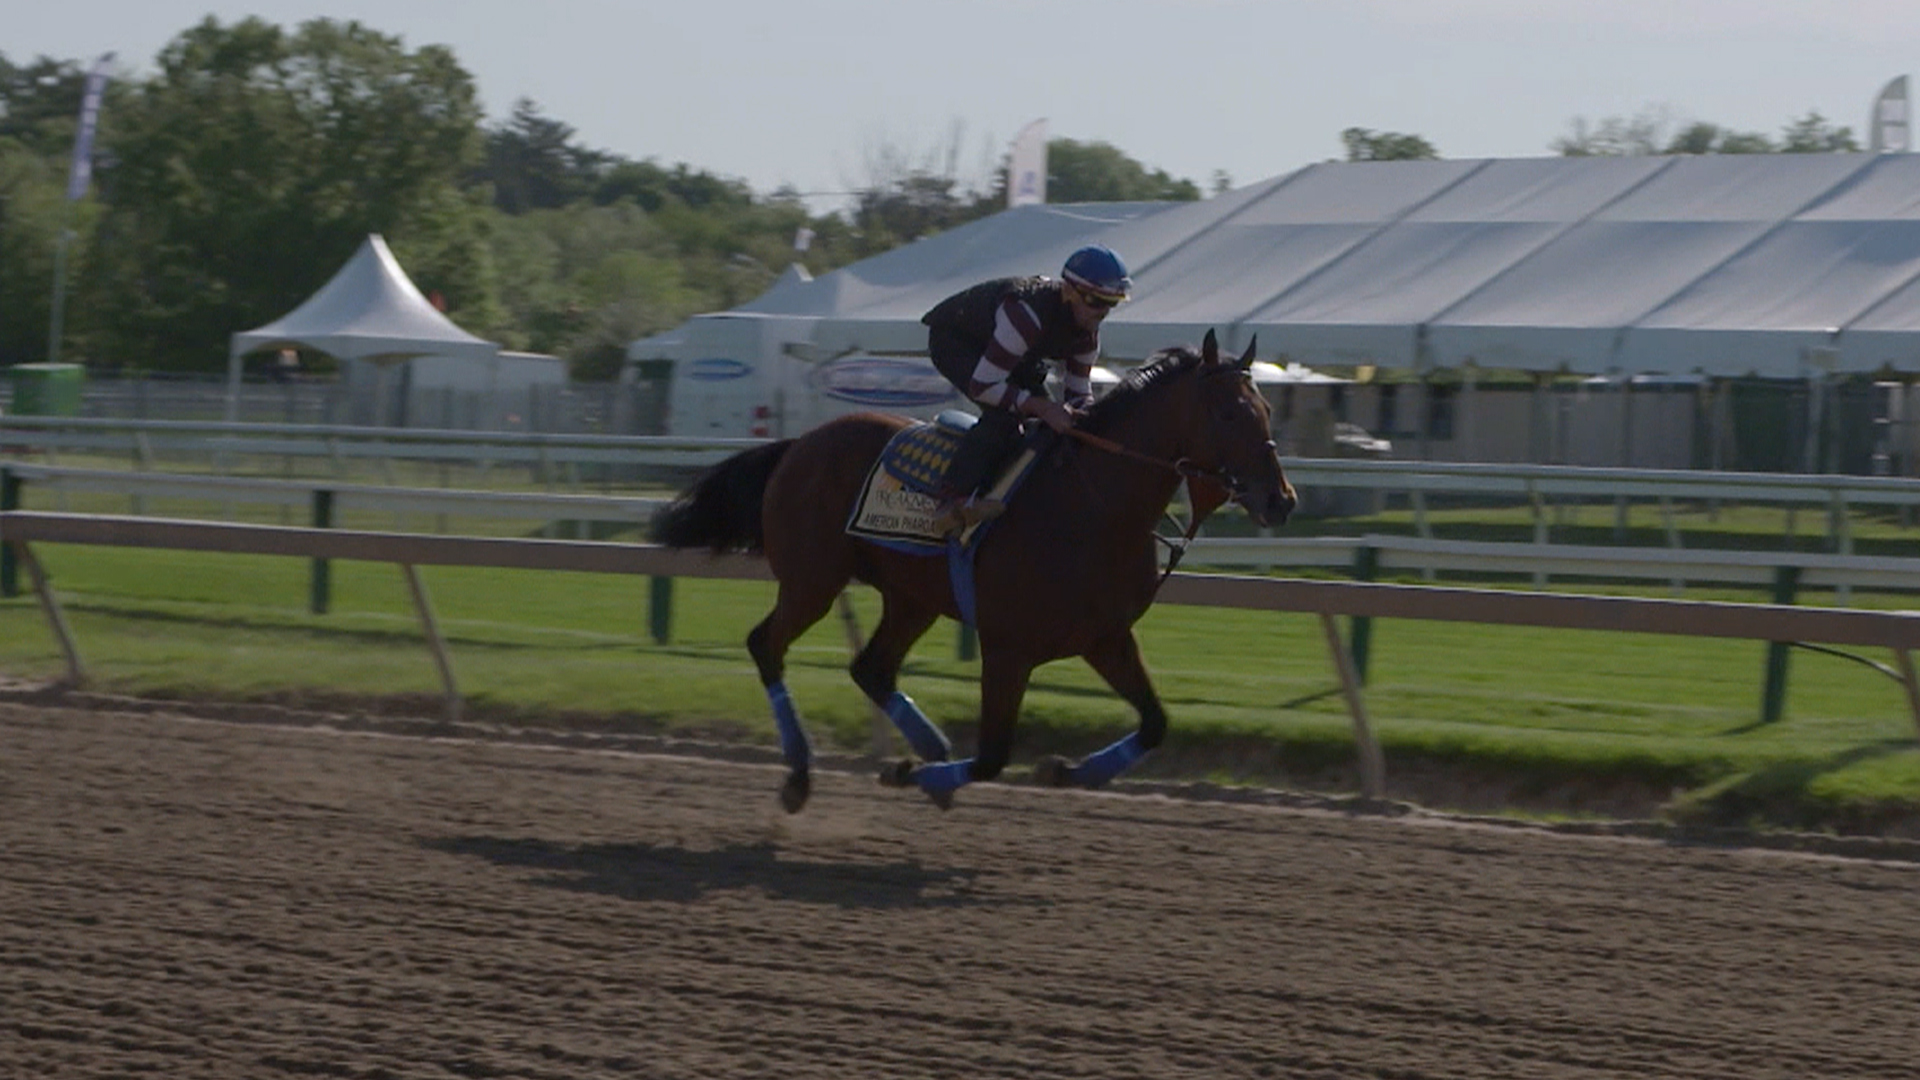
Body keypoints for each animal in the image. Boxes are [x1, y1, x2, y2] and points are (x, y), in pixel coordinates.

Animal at [652, 328, 1297, 807]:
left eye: (1266, 408)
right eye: (1230, 413)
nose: (1281, 500)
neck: (1093, 507)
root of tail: (799, 444)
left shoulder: (1107, 637)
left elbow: (1156, 723)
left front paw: (1064, 771)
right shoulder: (1008, 647)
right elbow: (992, 756)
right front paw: (916, 775)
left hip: (910, 597)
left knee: (871, 668)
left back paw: (930, 746)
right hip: (813, 580)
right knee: (767, 645)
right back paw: (802, 773)